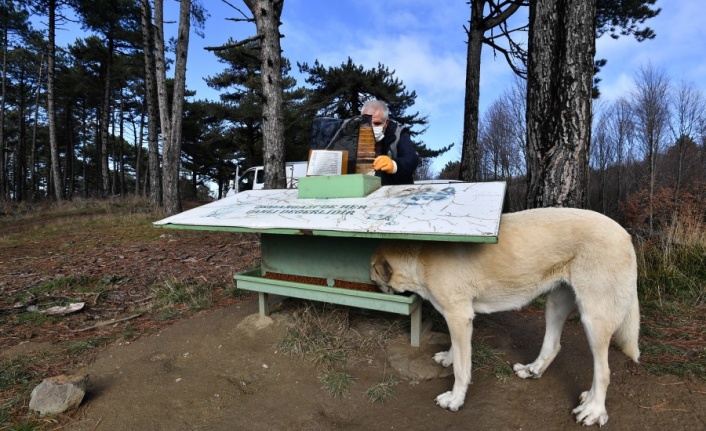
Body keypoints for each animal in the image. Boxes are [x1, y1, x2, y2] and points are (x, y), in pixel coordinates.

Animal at [368, 208, 640, 426]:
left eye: (373, 271)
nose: (370, 286)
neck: (419, 257)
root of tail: (625, 234)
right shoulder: (460, 318)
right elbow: (457, 352)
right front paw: (448, 357)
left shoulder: (458, 316)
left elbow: (462, 369)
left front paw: (455, 399)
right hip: (555, 304)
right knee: (553, 346)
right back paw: (534, 370)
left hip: (594, 318)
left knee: (603, 371)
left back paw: (592, 409)